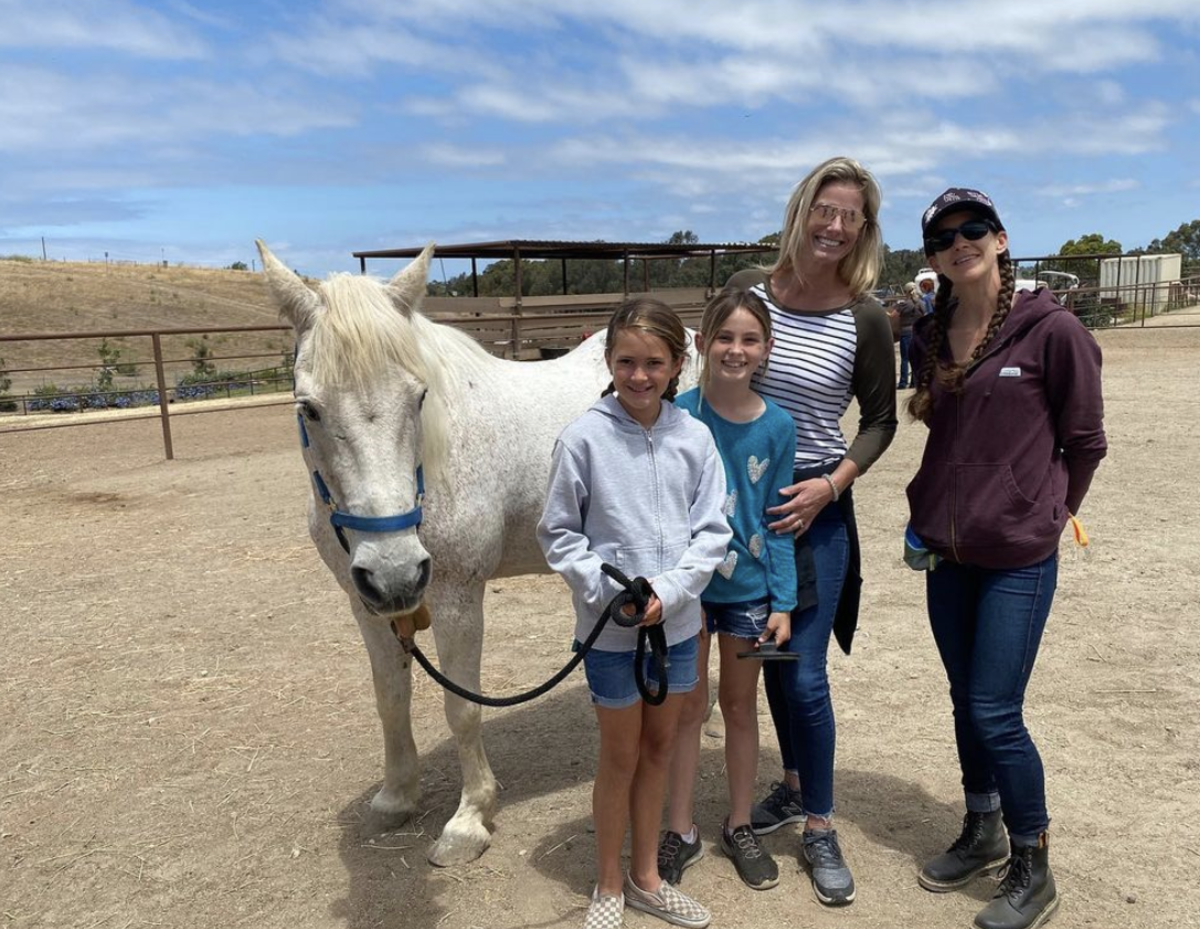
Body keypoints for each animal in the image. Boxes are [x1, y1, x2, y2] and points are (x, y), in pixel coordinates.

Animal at [258, 240, 700, 864]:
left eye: (418, 397)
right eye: (309, 408)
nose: (396, 573)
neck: (432, 464)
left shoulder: (456, 598)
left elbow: (462, 708)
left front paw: (469, 821)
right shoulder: (366, 607)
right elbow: (390, 700)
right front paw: (396, 799)